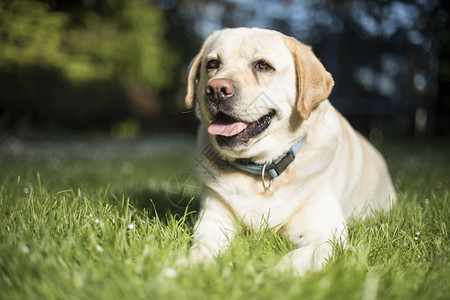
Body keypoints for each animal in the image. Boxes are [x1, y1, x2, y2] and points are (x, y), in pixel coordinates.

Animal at [185, 28, 396, 274]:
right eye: (212, 64)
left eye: (263, 66)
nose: (217, 89)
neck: (261, 167)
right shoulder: (212, 220)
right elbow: (202, 247)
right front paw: (191, 267)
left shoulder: (328, 234)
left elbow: (292, 258)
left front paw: (268, 276)